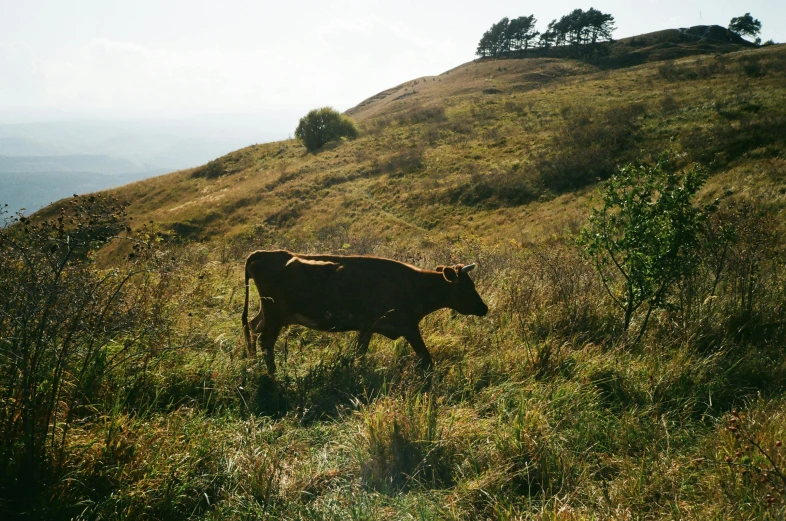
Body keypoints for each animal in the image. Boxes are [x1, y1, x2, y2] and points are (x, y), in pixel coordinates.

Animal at [240, 249, 484, 374]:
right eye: (468, 286)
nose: (484, 307)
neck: (414, 285)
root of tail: (264, 253)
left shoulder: (367, 327)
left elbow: (359, 354)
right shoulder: (408, 326)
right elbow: (426, 357)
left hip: (268, 314)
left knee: (252, 325)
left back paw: (253, 362)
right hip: (275, 315)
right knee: (265, 342)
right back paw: (273, 375)